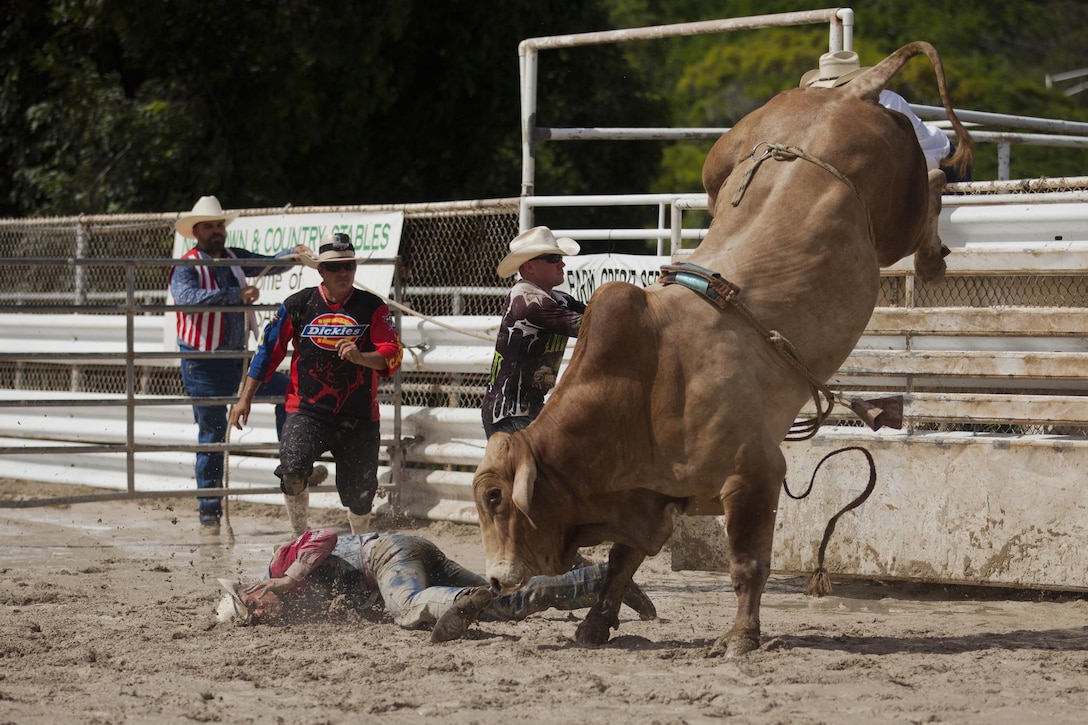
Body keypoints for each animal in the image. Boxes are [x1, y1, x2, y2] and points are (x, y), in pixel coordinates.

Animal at [472, 42, 974, 657]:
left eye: (497, 499)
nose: (496, 580)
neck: (644, 392)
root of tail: (849, 93)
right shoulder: (654, 496)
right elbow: (622, 561)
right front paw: (595, 624)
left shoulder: (754, 475)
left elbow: (746, 564)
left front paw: (740, 638)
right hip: (726, 167)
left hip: (898, 204)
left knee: (931, 184)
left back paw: (933, 258)